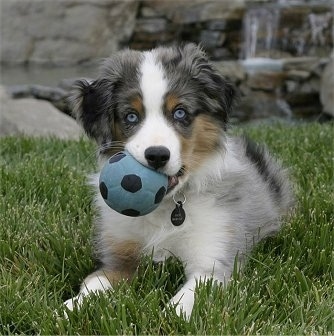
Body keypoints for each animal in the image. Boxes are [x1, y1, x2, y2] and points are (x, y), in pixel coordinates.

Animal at [64, 43, 294, 318]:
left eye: (180, 112)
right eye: (131, 116)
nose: (157, 156)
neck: (167, 204)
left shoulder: (212, 262)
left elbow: (185, 301)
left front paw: (166, 318)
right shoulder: (118, 257)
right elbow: (94, 284)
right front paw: (69, 309)